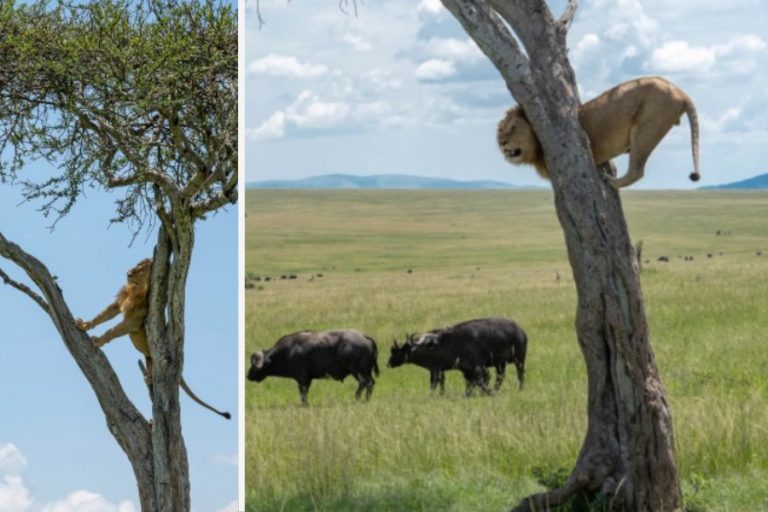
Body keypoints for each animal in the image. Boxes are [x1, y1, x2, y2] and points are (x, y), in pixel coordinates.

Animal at [76, 258, 231, 419]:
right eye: (137, 265)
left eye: (142, 269)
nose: (128, 273)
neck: (136, 291)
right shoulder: (118, 304)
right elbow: (101, 316)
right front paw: (84, 325)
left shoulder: (132, 322)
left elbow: (111, 331)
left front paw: (98, 341)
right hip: (148, 357)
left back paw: (149, 378)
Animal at [497, 76, 700, 188]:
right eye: (499, 131)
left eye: (513, 128)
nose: (502, 143)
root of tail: (682, 93)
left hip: (646, 127)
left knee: (637, 171)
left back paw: (611, 182)